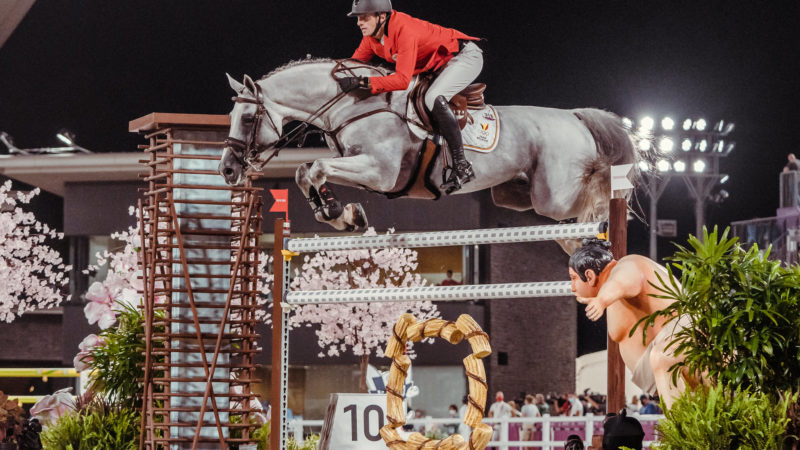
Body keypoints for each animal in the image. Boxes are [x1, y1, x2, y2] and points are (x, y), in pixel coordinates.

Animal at [217, 58, 636, 251]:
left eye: (249, 117)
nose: (228, 170)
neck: (352, 104)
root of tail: (575, 117)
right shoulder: (364, 171)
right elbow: (306, 171)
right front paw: (342, 215)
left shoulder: (380, 171)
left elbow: (315, 166)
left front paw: (338, 213)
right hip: (517, 194)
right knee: (566, 219)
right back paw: (580, 245)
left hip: (553, 194)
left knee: (597, 197)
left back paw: (604, 226)